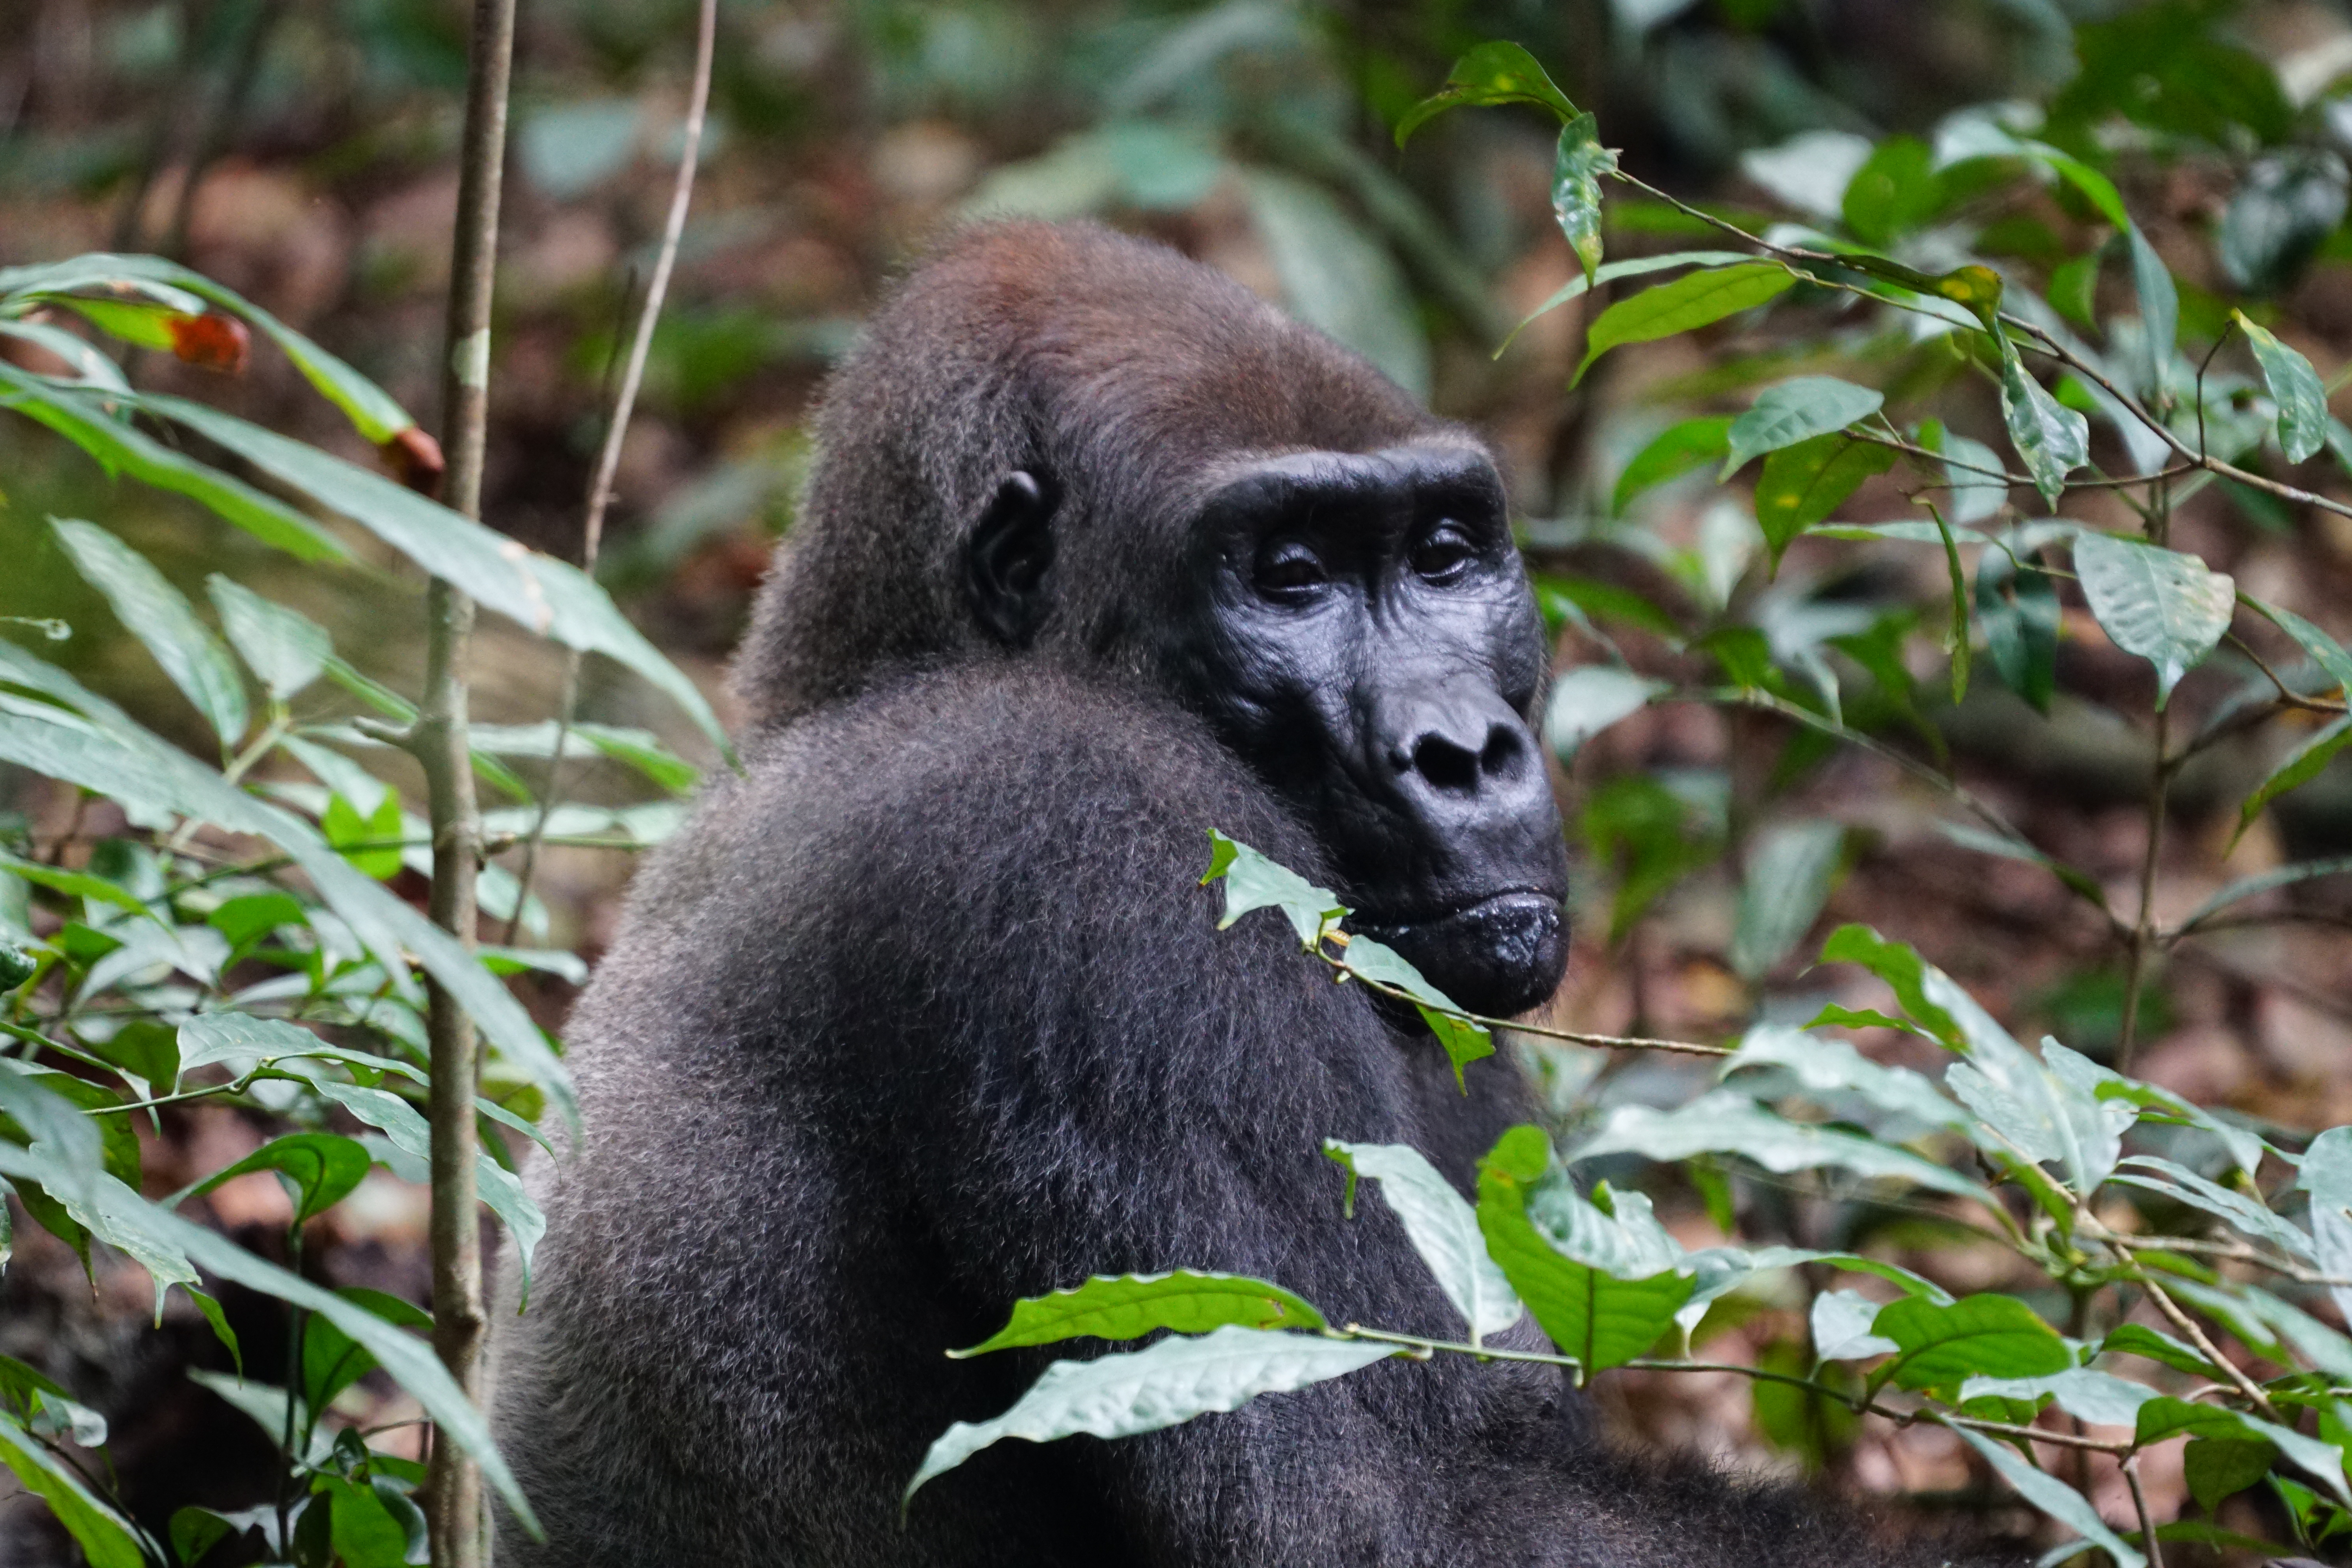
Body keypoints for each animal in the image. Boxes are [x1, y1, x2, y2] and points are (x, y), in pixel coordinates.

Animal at [490, 220, 2003, 1566]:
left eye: (1441, 554)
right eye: (1290, 578)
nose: (1465, 752)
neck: (868, 675)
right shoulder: (1079, 838)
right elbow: (1371, 1517)